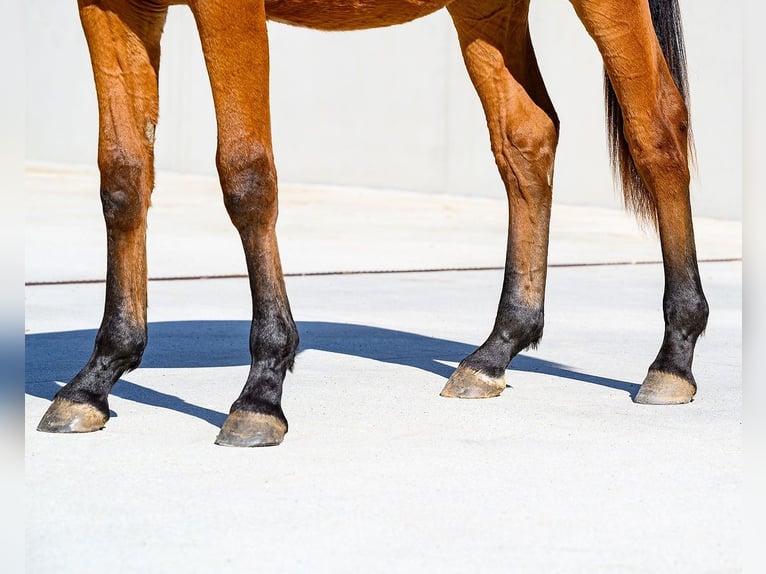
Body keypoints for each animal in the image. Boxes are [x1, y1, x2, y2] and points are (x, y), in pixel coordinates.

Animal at [37, 0, 709, 447]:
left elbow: (246, 175)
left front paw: (262, 390)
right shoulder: (111, 5)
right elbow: (123, 178)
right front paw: (95, 379)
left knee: (657, 129)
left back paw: (672, 360)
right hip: (486, 7)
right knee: (526, 139)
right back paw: (494, 352)